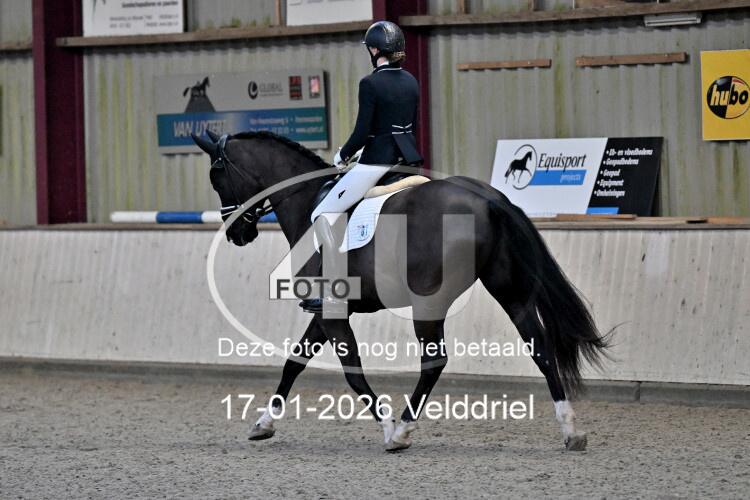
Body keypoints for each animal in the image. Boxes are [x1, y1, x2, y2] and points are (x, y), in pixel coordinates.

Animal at [192, 130, 608, 452]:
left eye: (216, 175)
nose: (236, 233)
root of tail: (491, 198)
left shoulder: (331, 312)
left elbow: (351, 373)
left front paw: (389, 428)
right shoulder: (326, 313)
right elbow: (293, 364)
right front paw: (263, 424)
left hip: (429, 303)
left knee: (434, 362)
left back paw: (404, 430)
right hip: (511, 293)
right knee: (541, 350)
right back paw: (572, 431)